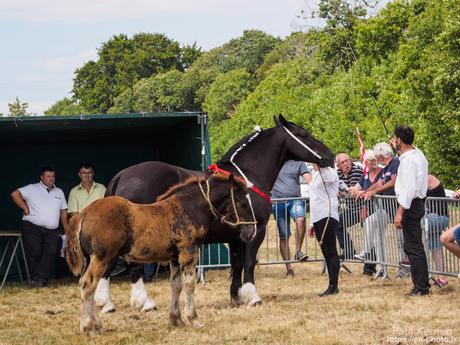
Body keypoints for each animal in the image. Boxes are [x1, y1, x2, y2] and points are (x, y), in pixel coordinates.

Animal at [95, 114, 332, 310]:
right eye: (303, 134)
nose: (328, 155)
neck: (248, 176)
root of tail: (121, 176)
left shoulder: (236, 235)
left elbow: (237, 264)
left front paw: (236, 296)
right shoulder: (256, 229)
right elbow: (248, 263)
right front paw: (253, 297)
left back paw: (105, 303)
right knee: (131, 265)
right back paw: (143, 302)